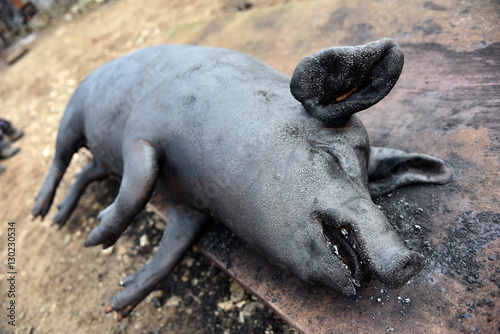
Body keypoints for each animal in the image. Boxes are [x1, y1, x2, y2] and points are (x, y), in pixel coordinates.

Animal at [31, 38, 454, 318]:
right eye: (332, 157)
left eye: (371, 186)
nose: (411, 259)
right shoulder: (142, 134)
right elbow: (140, 187)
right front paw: (94, 241)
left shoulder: (191, 208)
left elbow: (172, 252)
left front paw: (116, 305)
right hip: (71, 117)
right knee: (60, 159)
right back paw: (41, 214)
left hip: (100, 157)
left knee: (84, 171)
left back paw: (58, 218)